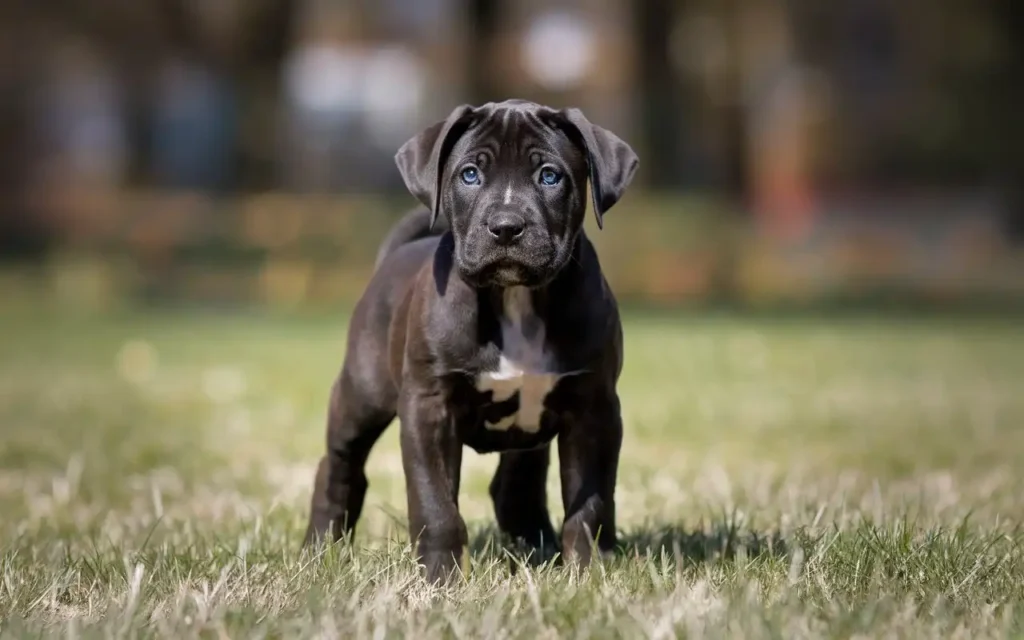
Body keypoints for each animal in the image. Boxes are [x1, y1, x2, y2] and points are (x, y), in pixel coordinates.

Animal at [303, 97, 638, 581]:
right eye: (470, 174)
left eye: (549, 176)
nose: (506, 226)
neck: (514, 297)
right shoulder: (429, 408)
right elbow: (435, 503)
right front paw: (440, 579)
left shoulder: (594, 410)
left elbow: (590, 503)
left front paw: (586, 573)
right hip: (360, 395)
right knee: (340, 464)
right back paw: (319, 550)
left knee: (515, 486)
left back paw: (537, 546)